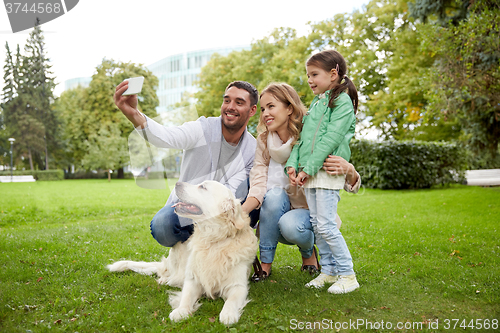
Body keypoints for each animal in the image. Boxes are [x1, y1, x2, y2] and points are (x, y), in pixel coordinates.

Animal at [108, 180, 258, 322]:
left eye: (203, 187)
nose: (177, 183)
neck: (213, 240)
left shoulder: (238, 286)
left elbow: (231, 301)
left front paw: (228, 314)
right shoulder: (193, 278)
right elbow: (186, 296)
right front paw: (181, 311)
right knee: (168, 273)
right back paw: (164, 279)